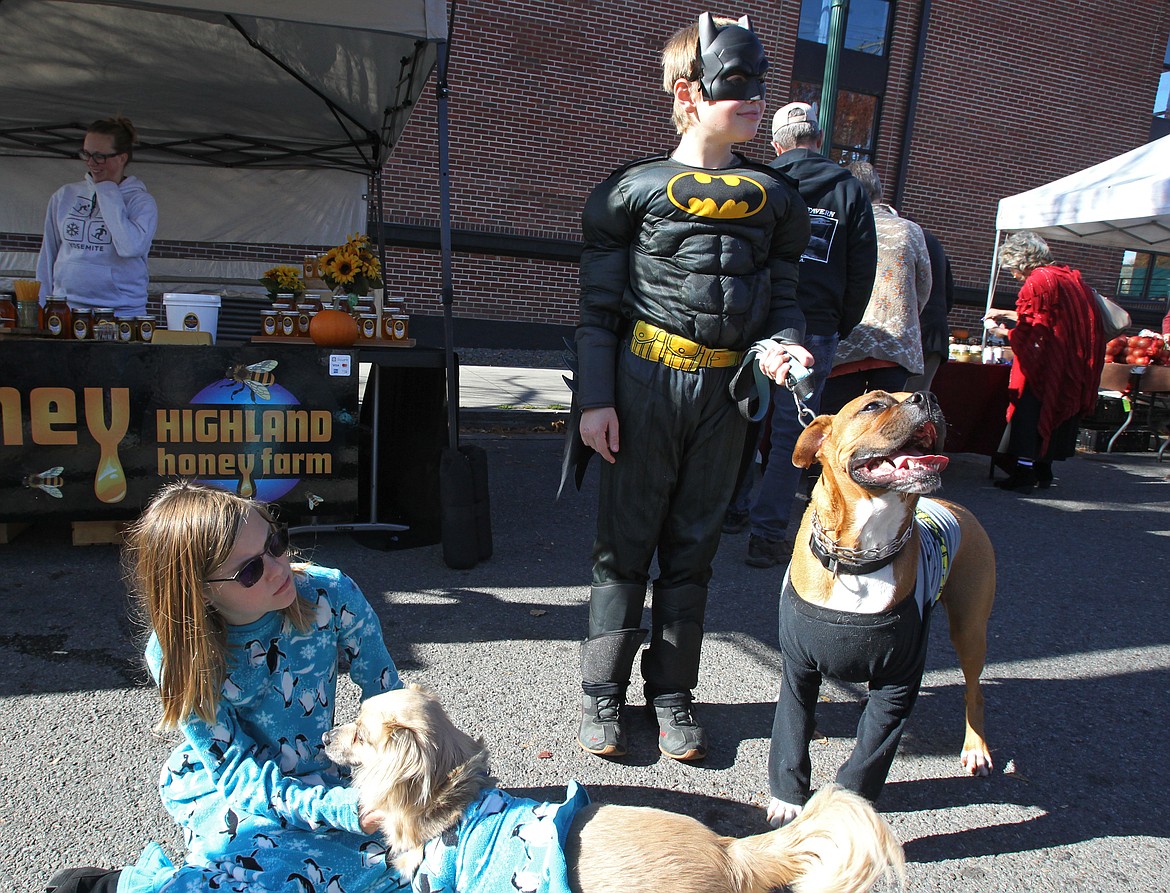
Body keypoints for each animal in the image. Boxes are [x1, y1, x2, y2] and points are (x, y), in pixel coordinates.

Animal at [767, 390, 996, 833]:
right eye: (873, 405)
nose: (928, 397)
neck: (858, 557)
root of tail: (955, 505)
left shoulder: (898, 682)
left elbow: (871, 754)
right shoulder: (799, 671)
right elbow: (790, 736)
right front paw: (786, 801)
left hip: (970, 629)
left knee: (974, 692)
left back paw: (976, 747)